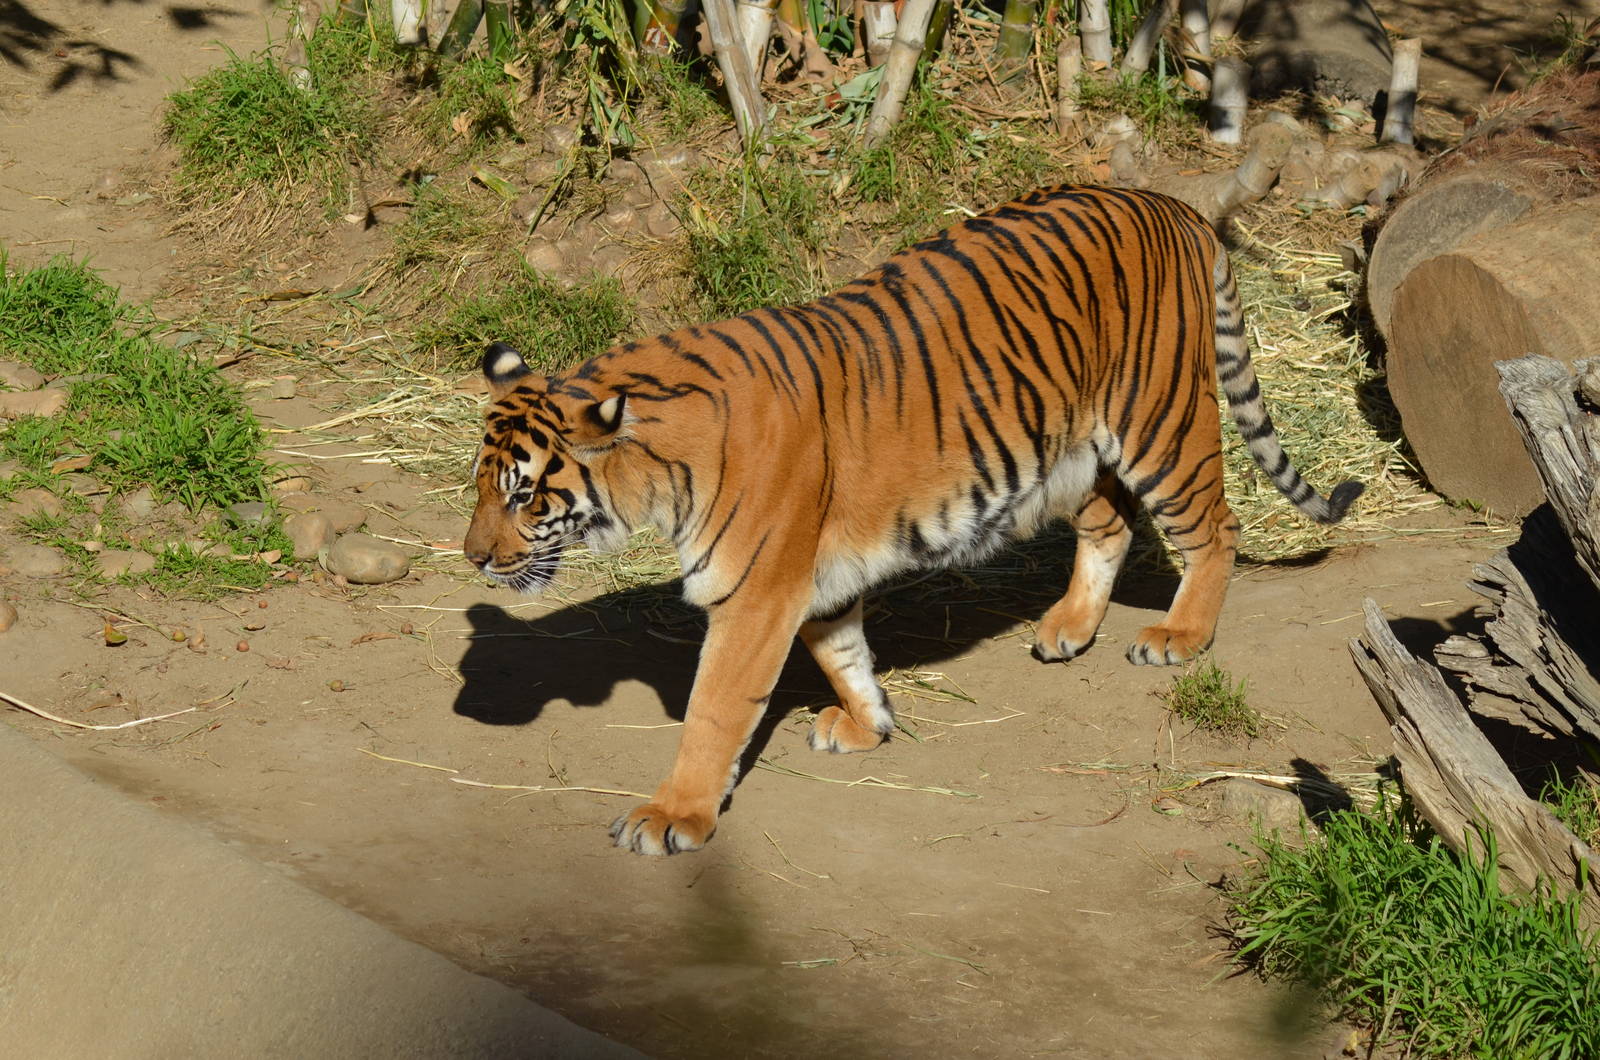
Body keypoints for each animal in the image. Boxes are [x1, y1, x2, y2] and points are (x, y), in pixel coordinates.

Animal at [463, 184, 1362, 857]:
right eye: (481, 487)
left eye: (523, 494)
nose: (472, 558)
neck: (656, 468)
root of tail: (1170, 202)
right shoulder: (810, 583)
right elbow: (843, 655)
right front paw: (869, 725)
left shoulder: (753, 598)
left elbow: (715, 711)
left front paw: (672, 816)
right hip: (1079, 447)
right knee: (1110, 524)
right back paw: (1067, 628)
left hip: (1162, 423)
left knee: (1216, 527)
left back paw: (1180, 635)